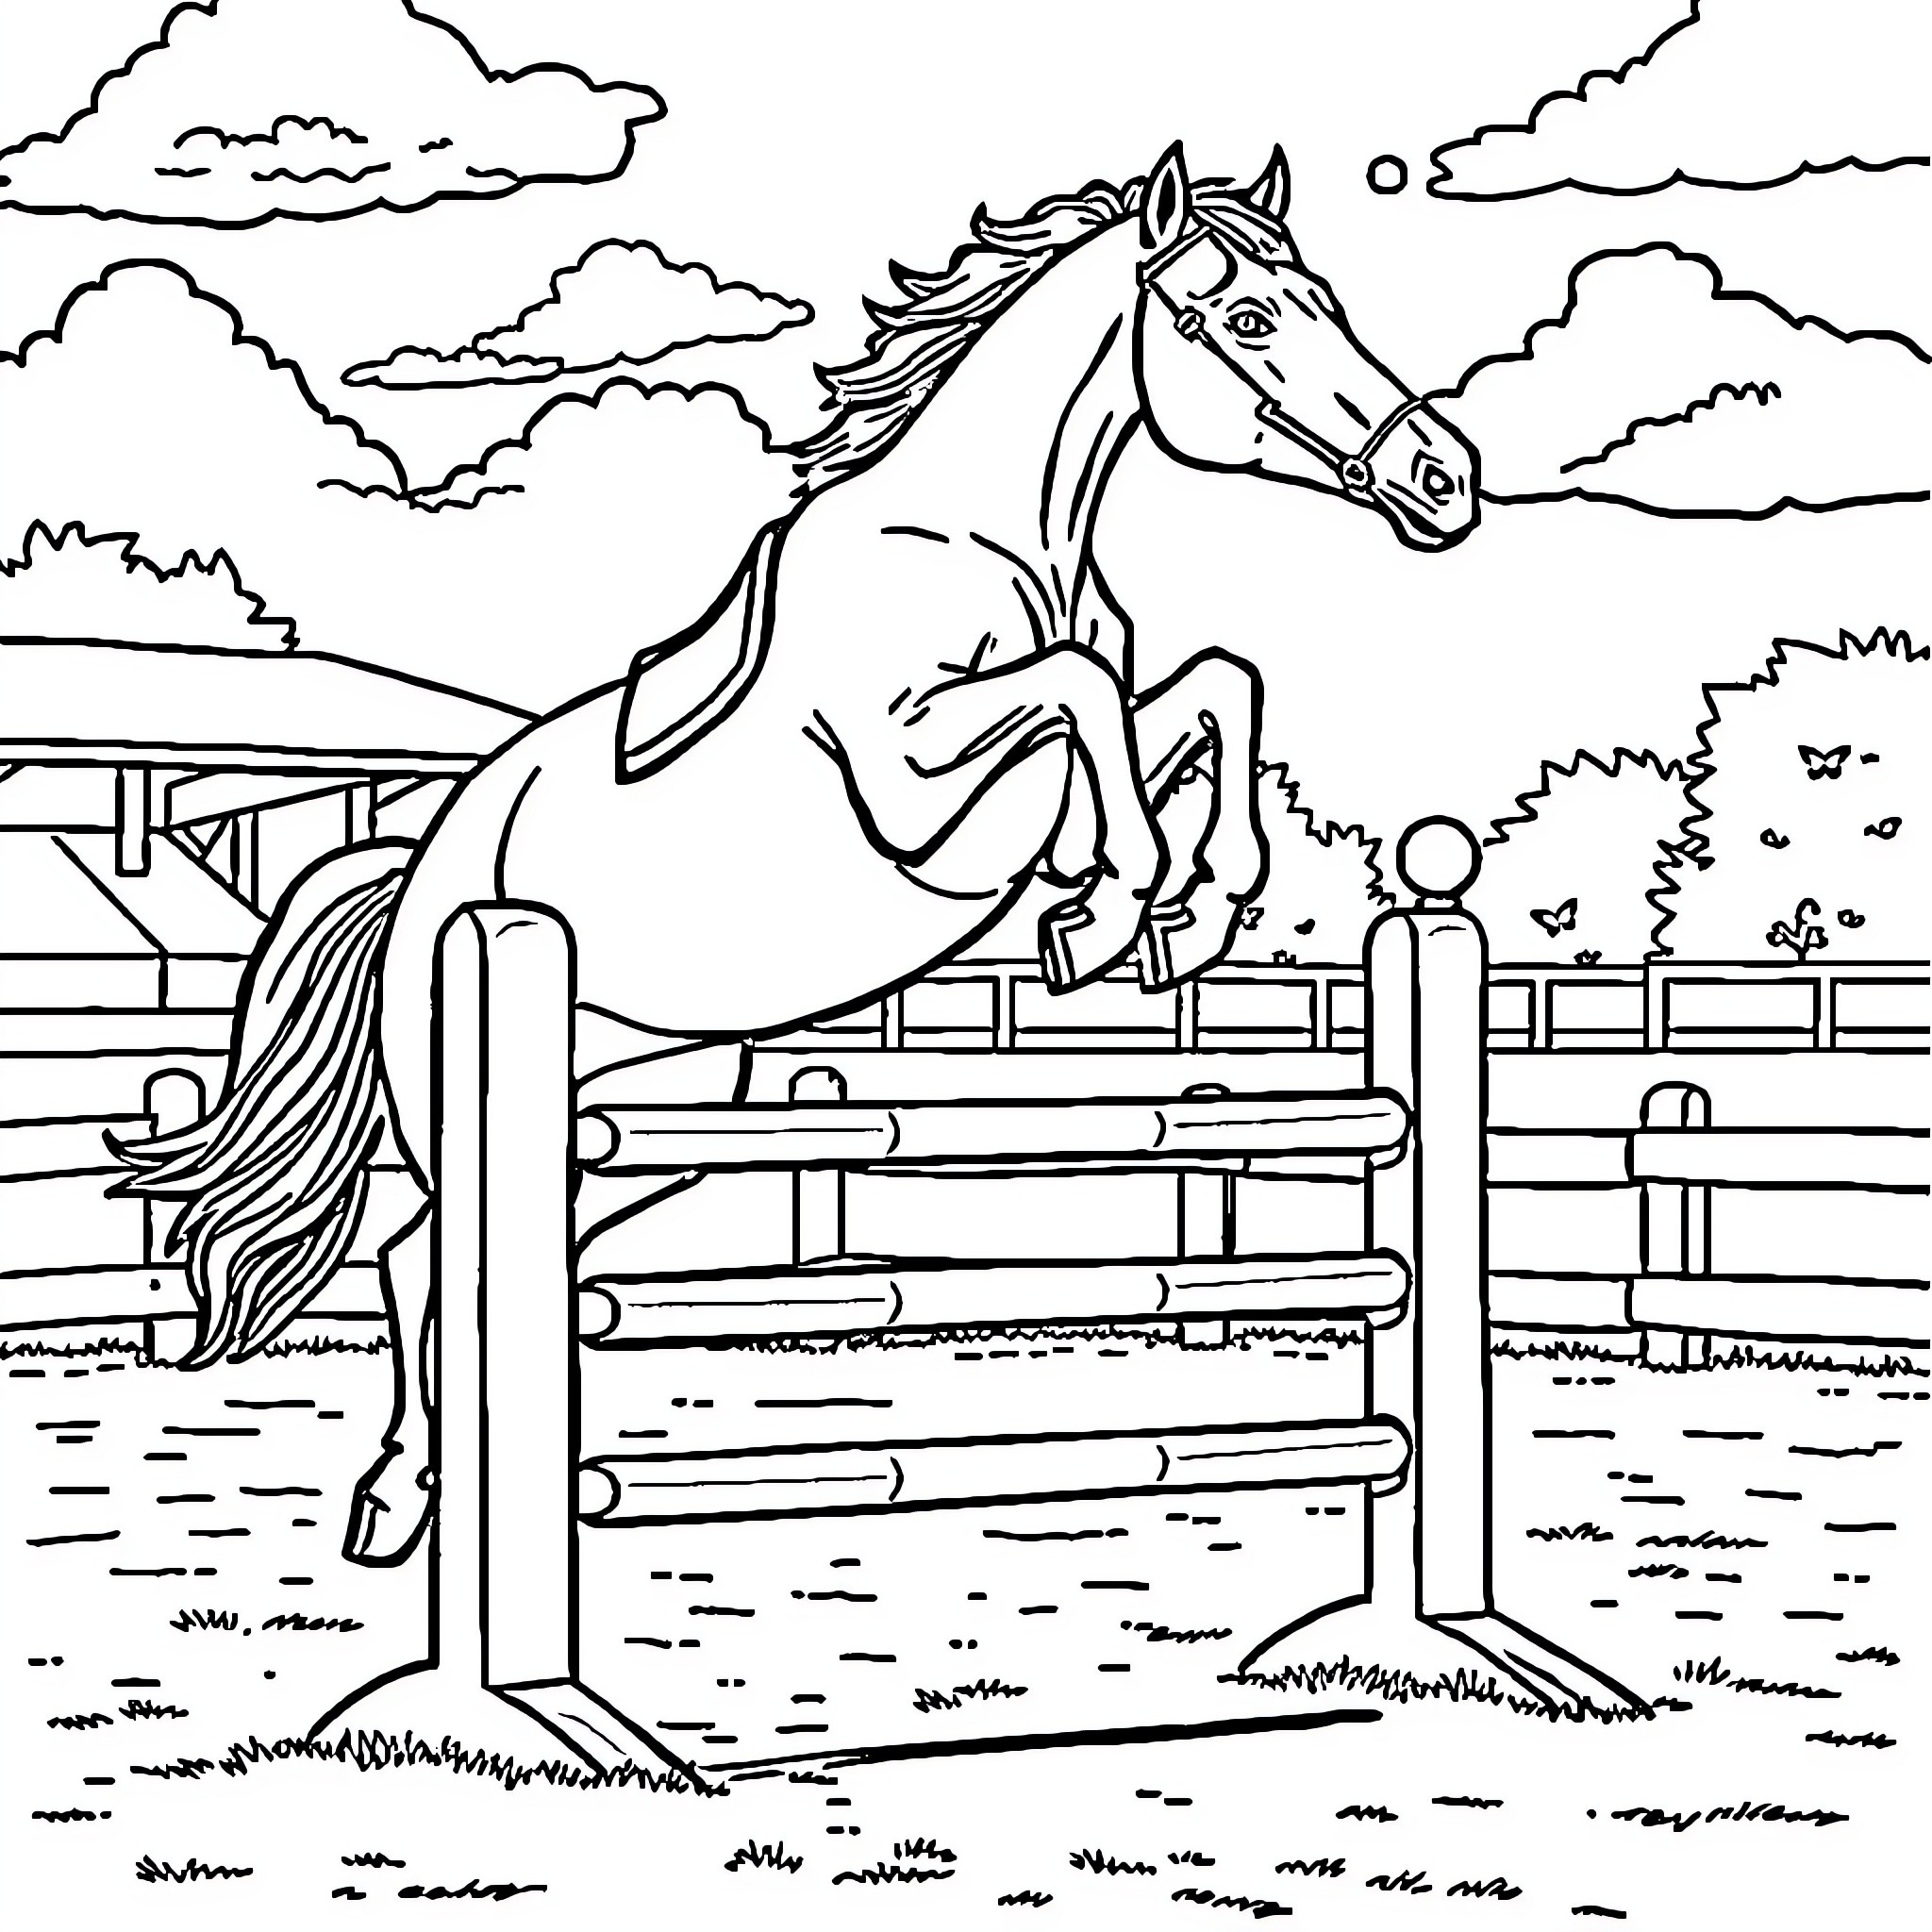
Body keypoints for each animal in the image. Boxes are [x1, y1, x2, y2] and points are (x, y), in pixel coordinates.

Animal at [114, 143, 1479, 1569]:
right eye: (1252, 319)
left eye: (1328, 301)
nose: (1446, 477)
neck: (979, 545)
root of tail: (425, 866)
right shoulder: (915, 789)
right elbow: (1084, 692)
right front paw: (1109, 909)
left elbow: (1213, 686)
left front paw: (1187, 912)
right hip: (473, 1095)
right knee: (419, 1258)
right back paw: (394, 1501)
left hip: (651, 1107)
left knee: (452, 1263)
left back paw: (418, 1494)